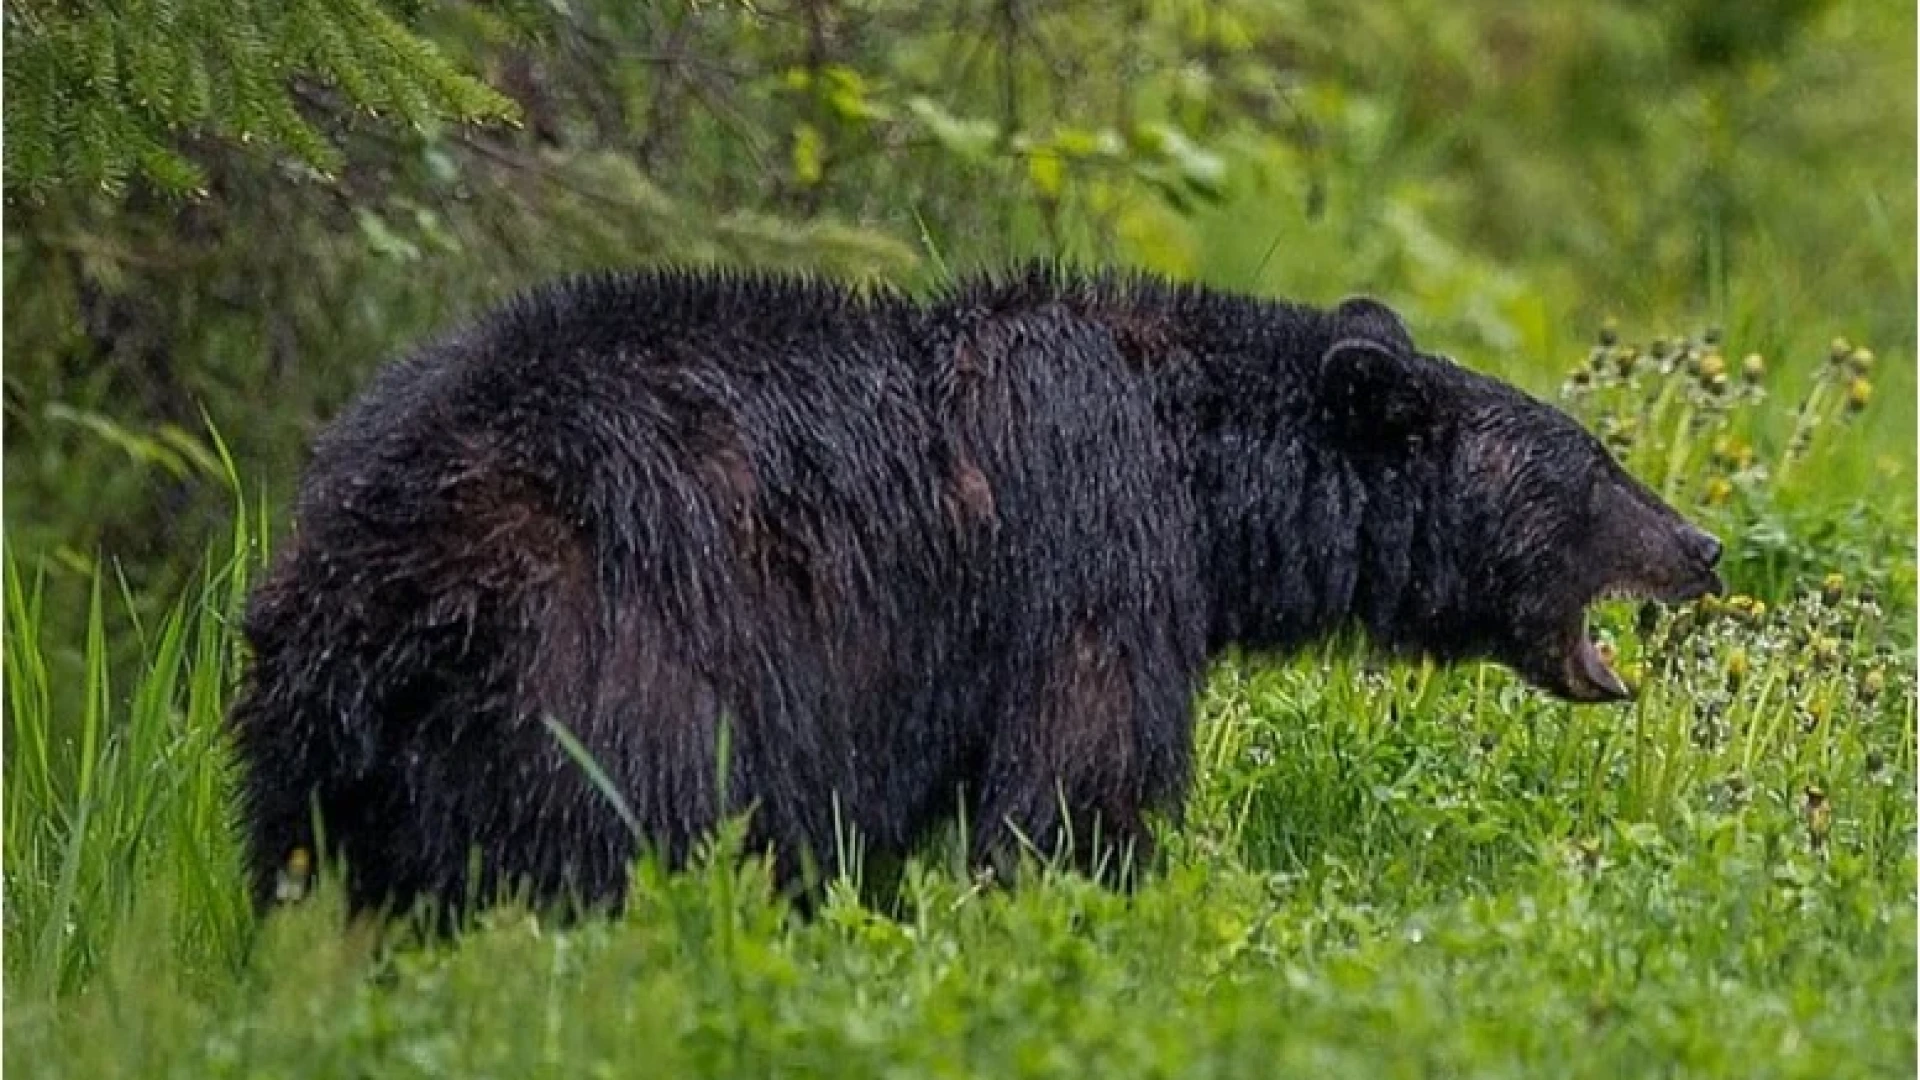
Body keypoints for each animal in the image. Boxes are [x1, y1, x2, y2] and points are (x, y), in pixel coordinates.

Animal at [228, 265, 1728, 910]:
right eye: (1598, 464)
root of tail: (382, 586)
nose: (1706, 544)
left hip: (308, 750)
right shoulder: (1089, 534)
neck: (1198, 465)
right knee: (611, 849)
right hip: (599, 671)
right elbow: (1079, 769)